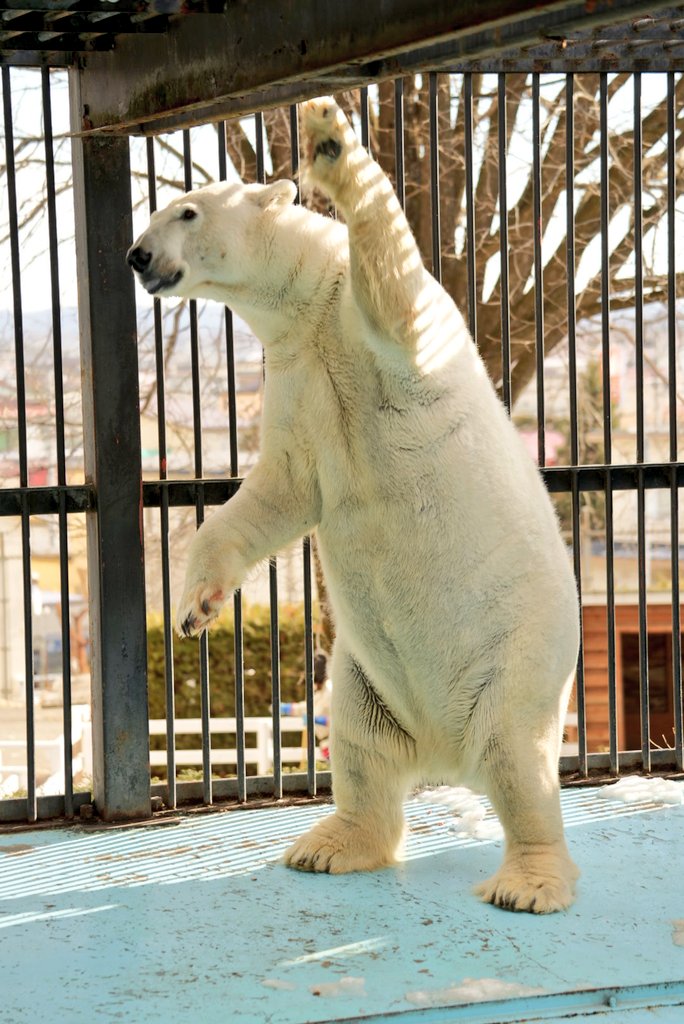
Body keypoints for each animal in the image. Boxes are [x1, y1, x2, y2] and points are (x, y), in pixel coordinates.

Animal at [126, 96, 577, 913]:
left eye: (187, 210)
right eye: (156, 213)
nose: (137, 256)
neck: (310, 306)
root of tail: (445, 752)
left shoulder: (379, 339)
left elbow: (394, 296)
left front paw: (330, 139)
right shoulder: (295, 376)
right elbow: (276, 493)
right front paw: (194, 610)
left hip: (515, 651)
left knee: (516, 755)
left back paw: (527, 883)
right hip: (364, 677)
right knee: (365, 748)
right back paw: (328, 845)